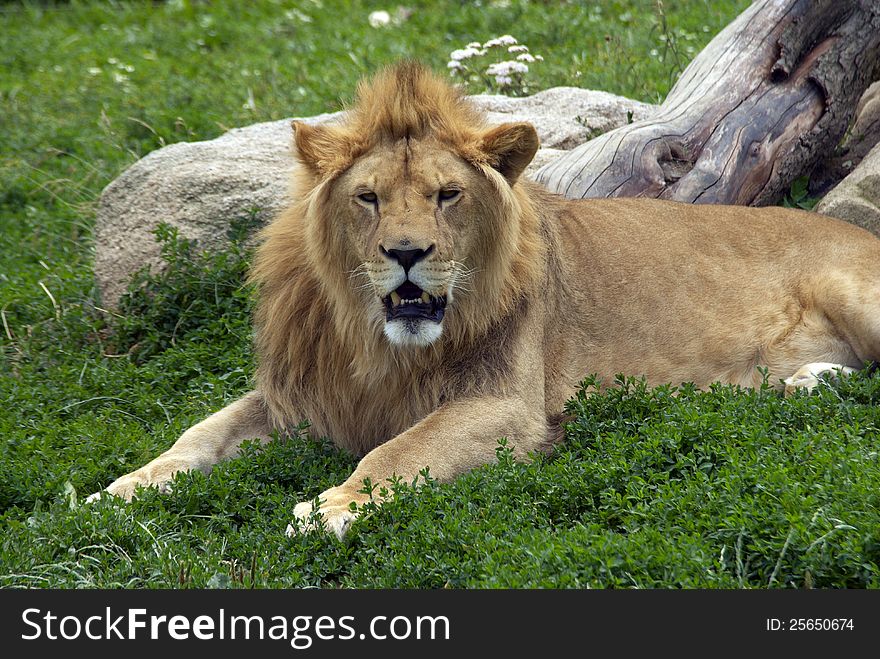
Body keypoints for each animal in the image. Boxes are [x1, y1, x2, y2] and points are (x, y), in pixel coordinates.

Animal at [91, 63, 880, 540]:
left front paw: (331, 507)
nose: (406, 253)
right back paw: (808, 379)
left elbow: (398, 450)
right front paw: (120, 490)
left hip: (854, 291)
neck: (377, 344)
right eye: (368, 198)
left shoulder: (504, 403)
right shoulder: (304, 392)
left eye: (447, 195)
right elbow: (199, 433)